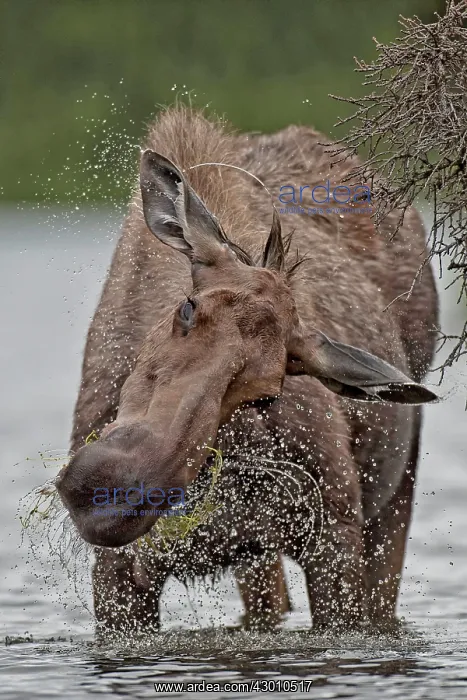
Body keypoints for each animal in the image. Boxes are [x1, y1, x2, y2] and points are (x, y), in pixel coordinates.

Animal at [56, 104, 438, 633]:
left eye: (266, 393)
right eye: (188, 309)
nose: (114, 495)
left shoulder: (333, 532)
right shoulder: (121, 570)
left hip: (395, 489)